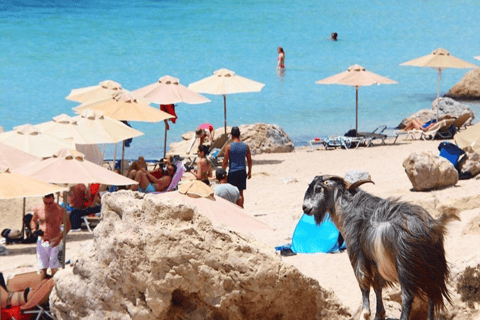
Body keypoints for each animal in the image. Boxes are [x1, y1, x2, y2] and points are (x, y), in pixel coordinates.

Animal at [302, 175, 460, 320]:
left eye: (318, 188)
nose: (305, 208)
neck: (349, 210)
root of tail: (431, 227)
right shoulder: (375, 262)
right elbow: (377, 286)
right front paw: (379, 314)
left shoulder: (356, 254)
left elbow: (364, 283)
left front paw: (365, 313)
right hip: (432, 269)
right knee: (431, 295)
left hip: (405, 267)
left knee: (408, 296)